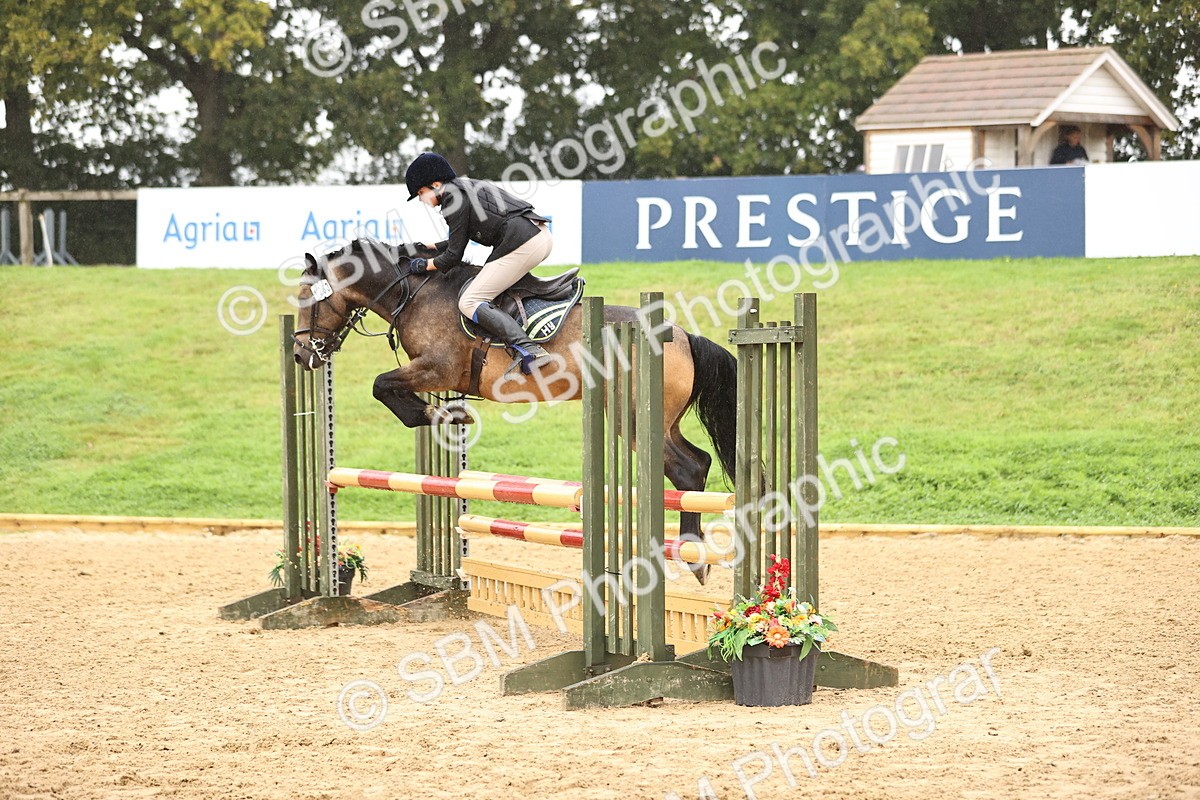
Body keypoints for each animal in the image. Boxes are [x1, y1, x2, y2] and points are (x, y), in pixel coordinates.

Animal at [291, 238, 739, 583]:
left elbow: (382, 385)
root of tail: (682, 334)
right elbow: (390, 390)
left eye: (305, 300)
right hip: (662, 419)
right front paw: (451, 416)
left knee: (685, 468)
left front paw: (445, 416)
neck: (415, 294)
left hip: (632, 417)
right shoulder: (435, 375)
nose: (301, 356)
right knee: (698, 461)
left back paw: (692, 553)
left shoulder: (437, 367)